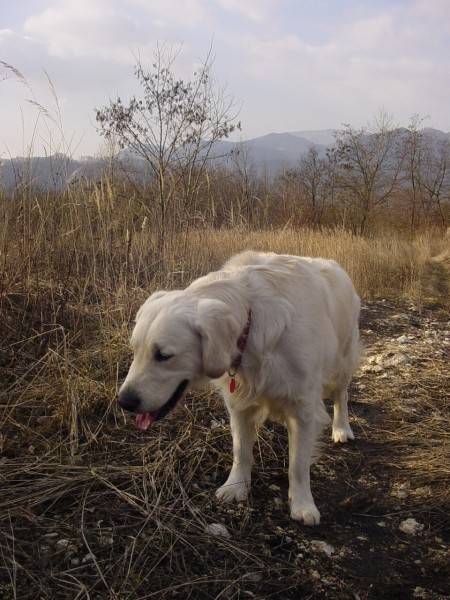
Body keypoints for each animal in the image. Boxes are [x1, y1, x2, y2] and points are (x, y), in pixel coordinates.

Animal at [118, 251, 360, 524]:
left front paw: (302, 505)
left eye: (163, 355)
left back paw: (342, 428)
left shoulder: (303, 407)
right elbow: (241, 449)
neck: (251, 317)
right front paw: (236, 487)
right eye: (134, 350)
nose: (124, 401)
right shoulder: (238, 403)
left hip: (342, 362)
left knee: (342, 395)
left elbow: (297, 464)